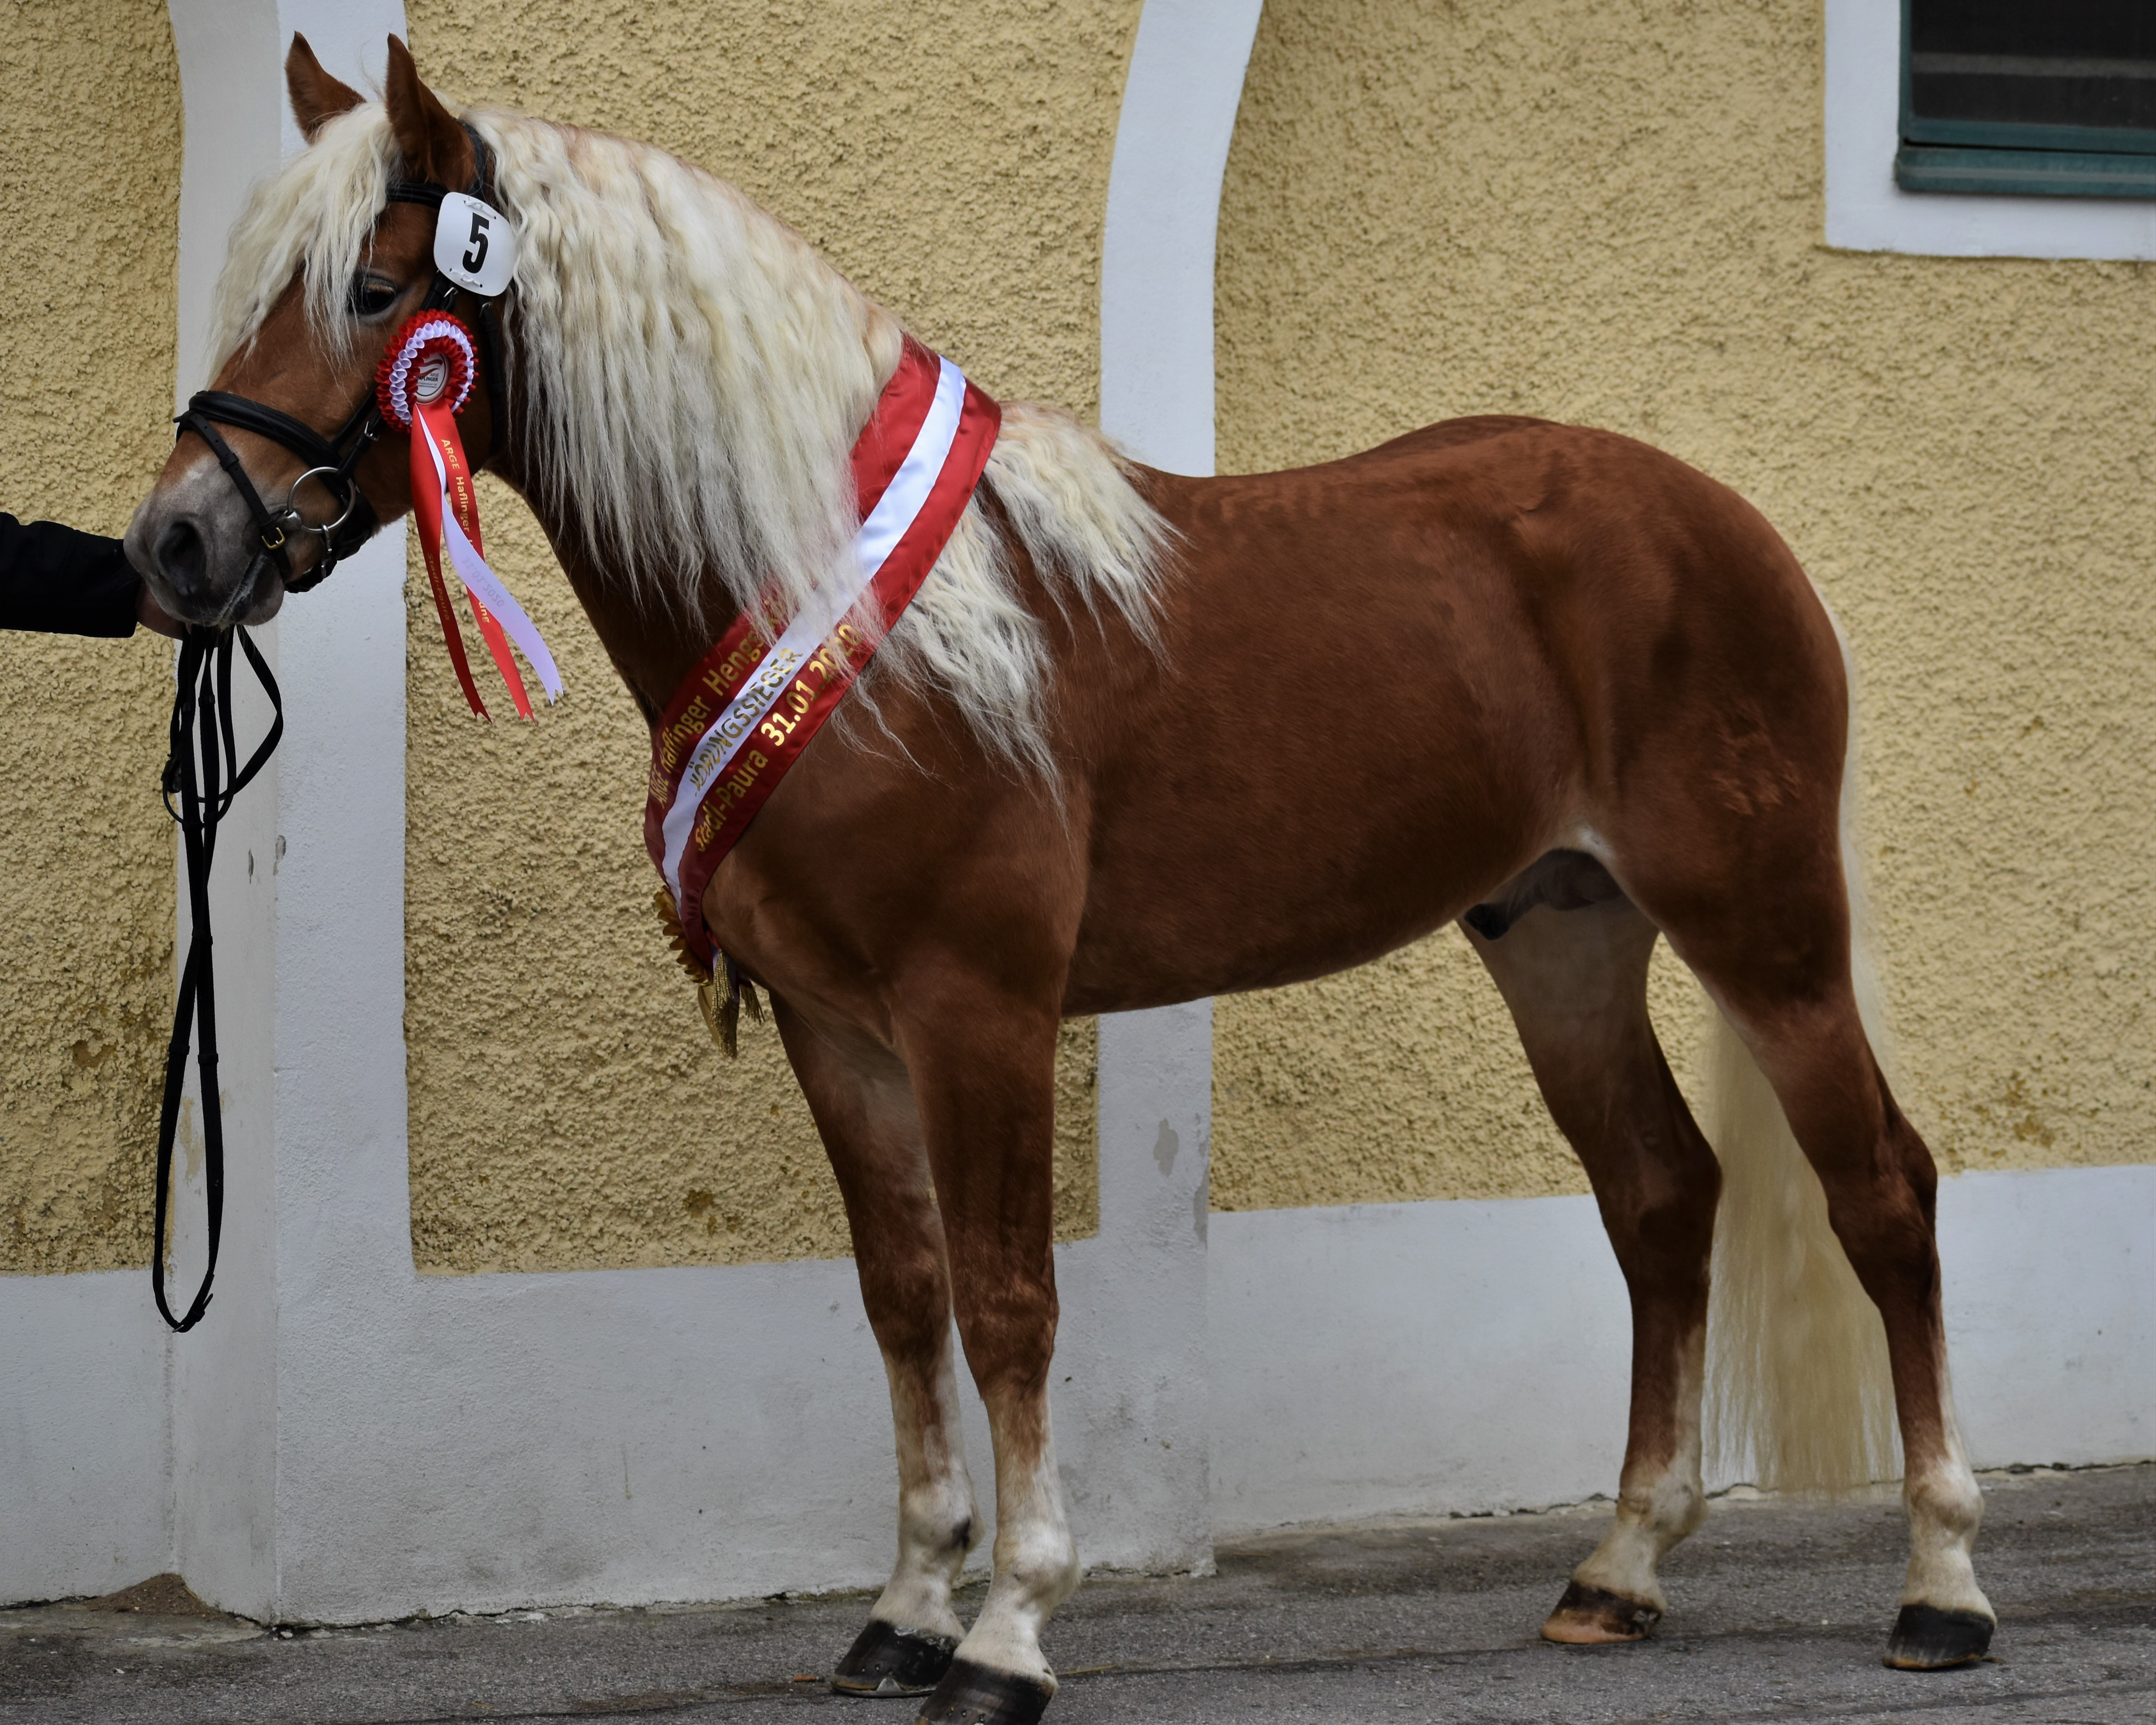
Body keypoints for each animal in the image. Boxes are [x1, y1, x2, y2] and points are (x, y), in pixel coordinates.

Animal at [126, 33, 1992, 1716]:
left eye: (376, 293)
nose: (175, 545)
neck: (852, 607)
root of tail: (1723, 523)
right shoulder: (836, 1026)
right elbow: (904, 1296)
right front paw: (903, 1613)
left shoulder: (981, 1007)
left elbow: (1010, 1298)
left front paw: (1010, 1631)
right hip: (1560, 934)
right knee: (1662, 1193)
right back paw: (1620, 1570)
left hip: (1763, 926)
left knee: (1885, 1192)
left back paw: (1943, 1586)